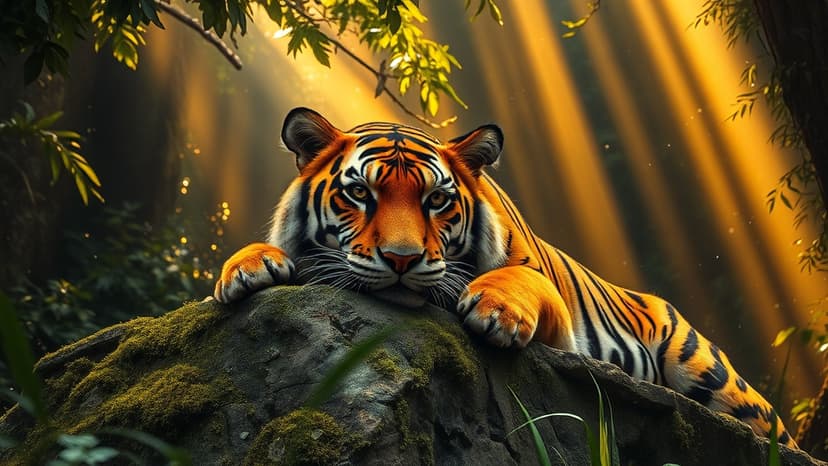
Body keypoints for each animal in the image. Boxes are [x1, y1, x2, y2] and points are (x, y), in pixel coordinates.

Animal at [214, 107, 797, 448]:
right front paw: (245, 268)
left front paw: (494, 312)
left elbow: (521, 280)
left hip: (715, 378)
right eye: (359, 193)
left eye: (437, 200)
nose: (401, 259)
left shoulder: (558, 321)